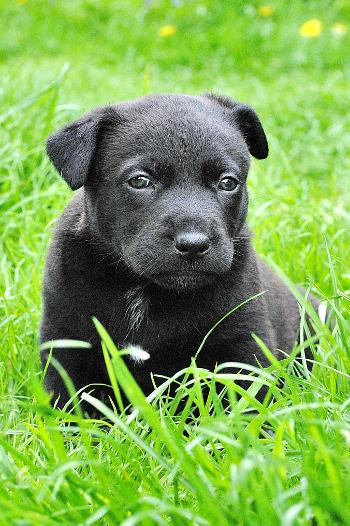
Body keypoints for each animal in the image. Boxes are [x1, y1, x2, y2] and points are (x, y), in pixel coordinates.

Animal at [41, 93, 314, 410]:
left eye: (228, 182)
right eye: (140, 180)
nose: (194, 244)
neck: (142, 289)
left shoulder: (243, 341)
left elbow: (245, 404)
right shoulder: (66, 343)